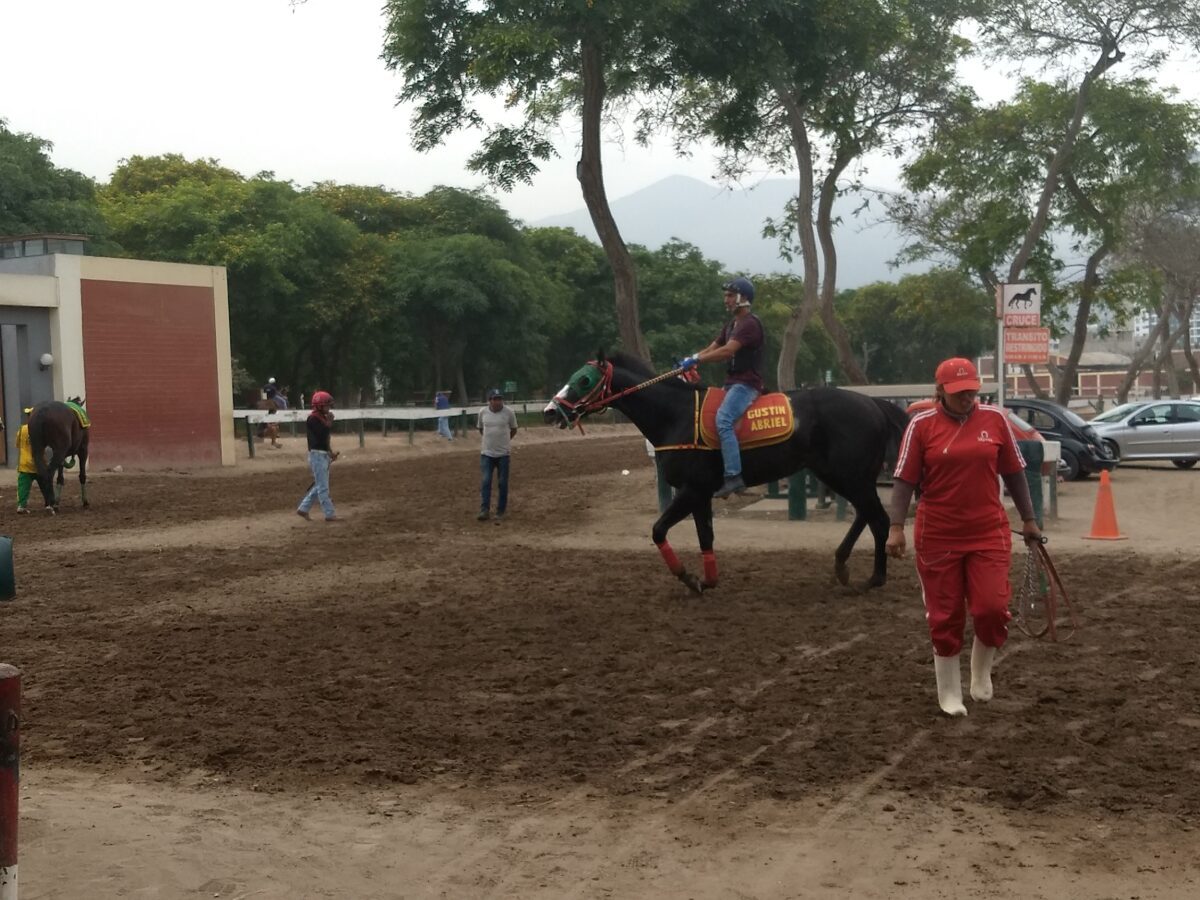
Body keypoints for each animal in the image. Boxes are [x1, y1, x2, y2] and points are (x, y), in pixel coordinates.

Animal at [545, 352, 909, 594]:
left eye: (584, 380)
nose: (550, 411)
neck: (676, 415)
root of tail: (875, 405)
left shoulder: (691, 490)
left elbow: (658, 530)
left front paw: (688, 576)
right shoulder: (701, 494)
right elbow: (705, 536)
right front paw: (708, 578)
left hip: (850, 476)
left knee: (878, 519)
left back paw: (874, 578)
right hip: (840, 475)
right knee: (866, 515)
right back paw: (842, 565)